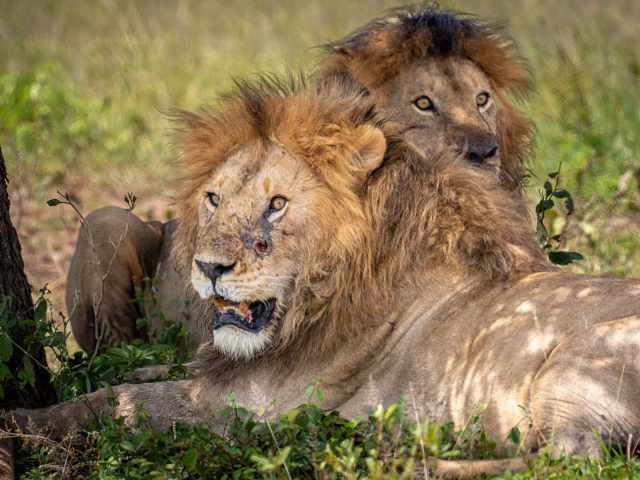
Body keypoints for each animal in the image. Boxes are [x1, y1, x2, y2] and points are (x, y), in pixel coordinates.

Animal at [9, 78, 640, 477]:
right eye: (213, 199)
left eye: (277, 205)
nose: (208, 268)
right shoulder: (224, 368)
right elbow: (141, 373)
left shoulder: (245, 407)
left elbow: (116, 403)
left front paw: (19, 421)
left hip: (575, 362)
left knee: (569, 460)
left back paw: (404, 458)